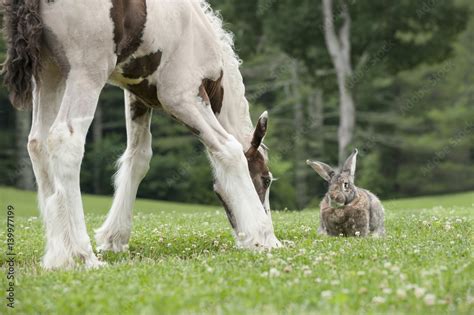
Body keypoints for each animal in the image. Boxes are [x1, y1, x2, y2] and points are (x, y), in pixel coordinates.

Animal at [2, 0, 282, 272]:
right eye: (266, 180)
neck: (198, 35)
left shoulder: (138, 95)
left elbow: (138, 157)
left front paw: (114, 237)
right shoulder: (182, 97)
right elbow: (228, 148)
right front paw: (264, 236)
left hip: (50, 72)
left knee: (38, 143)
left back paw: (60, 257)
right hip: (86, 73)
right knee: (65, 140)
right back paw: (83, 256)